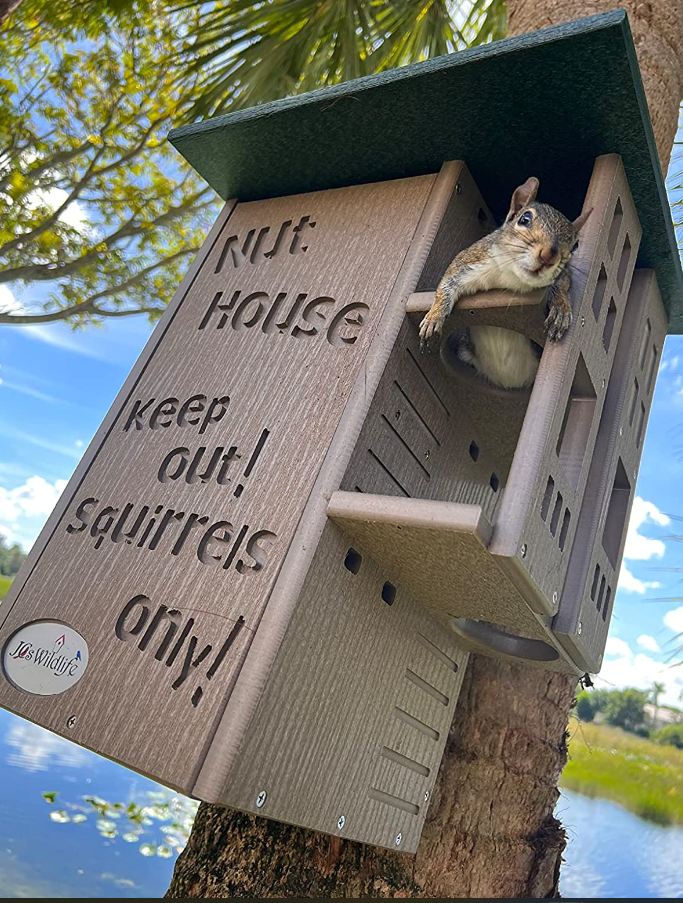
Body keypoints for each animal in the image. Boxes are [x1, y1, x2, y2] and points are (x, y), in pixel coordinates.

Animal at [419, 177, 592, 389]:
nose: (548, 256)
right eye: (524, 219)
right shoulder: (469, 260)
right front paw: (434, 316)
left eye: (574, 245)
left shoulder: (564, 273)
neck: (512, 277)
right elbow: (446, 285)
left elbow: (563, 284)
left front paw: (561, 308)